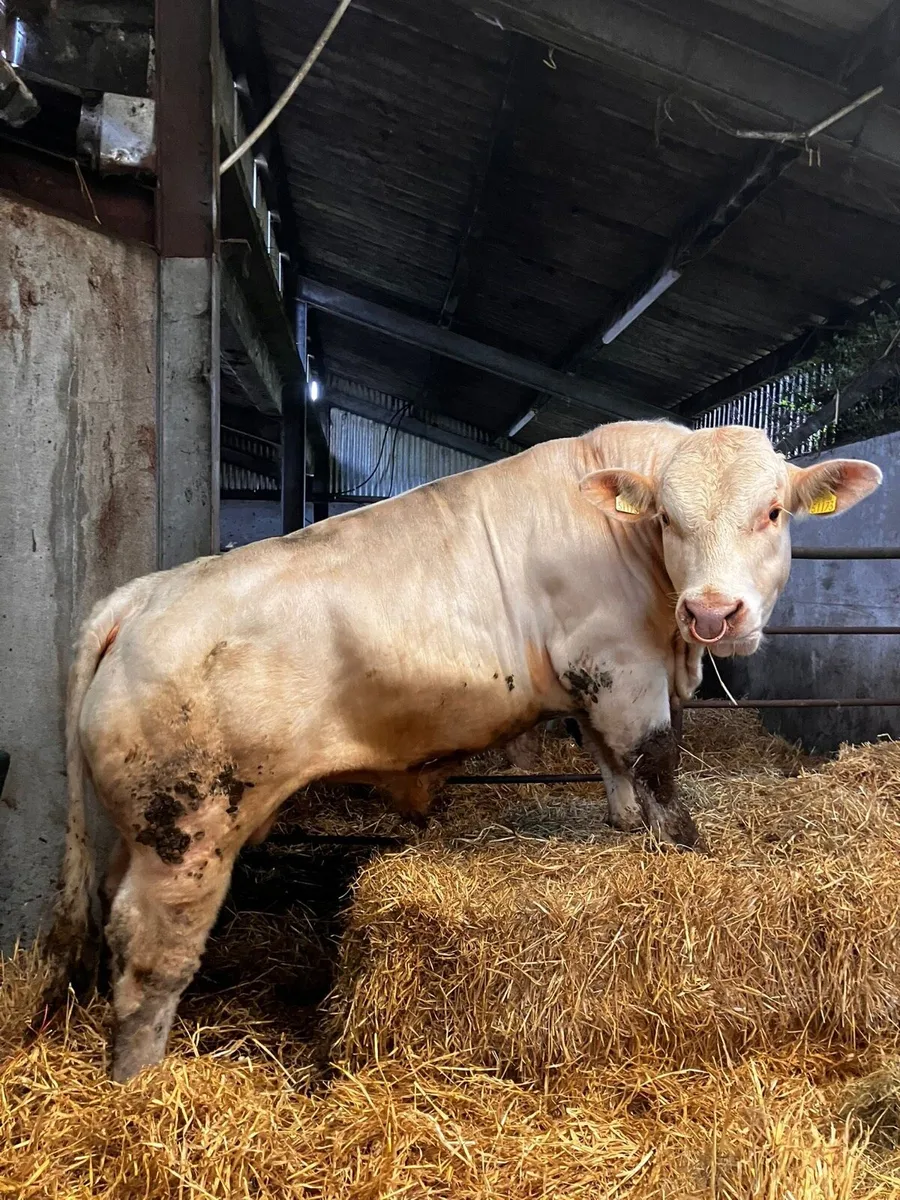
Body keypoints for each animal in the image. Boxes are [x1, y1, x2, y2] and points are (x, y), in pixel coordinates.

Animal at [42, 421, 881, 1080]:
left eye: (771, 511)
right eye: (670, 519)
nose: (711, 612)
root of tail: (141, 596)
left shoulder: (598, 689)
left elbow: (614, 770)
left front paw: (625, 830)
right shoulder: (622, 670)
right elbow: (658, 769)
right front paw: (689, 853)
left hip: (139, 828)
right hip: (187, 835)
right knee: (150, 955)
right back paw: (138, 1083)